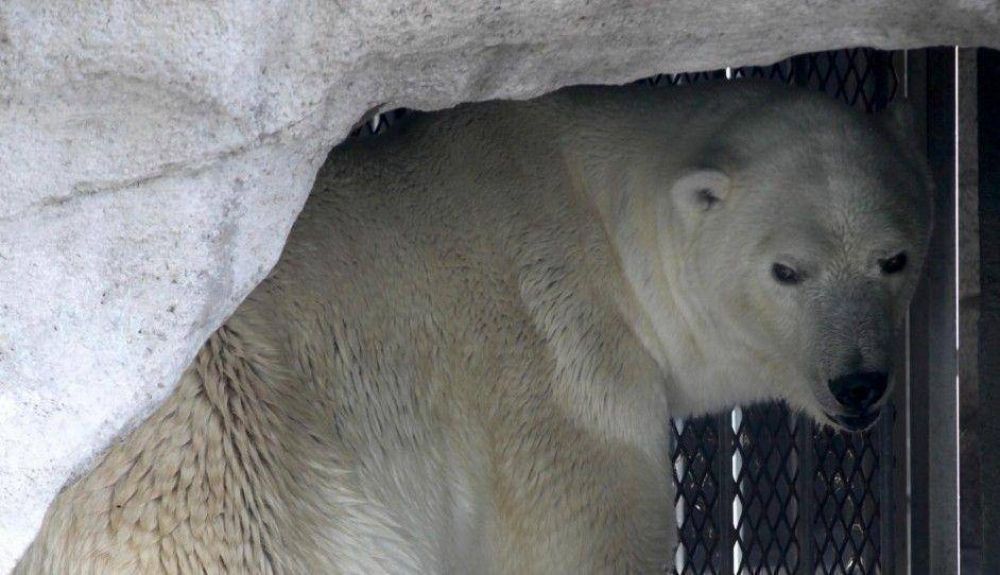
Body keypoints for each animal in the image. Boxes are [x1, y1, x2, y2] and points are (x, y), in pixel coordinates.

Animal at [15, 79, 932, 574]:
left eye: (895, 257)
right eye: (787, 270)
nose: (858, 383)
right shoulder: (559, 358)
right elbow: (584, 535)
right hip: (237, 478)